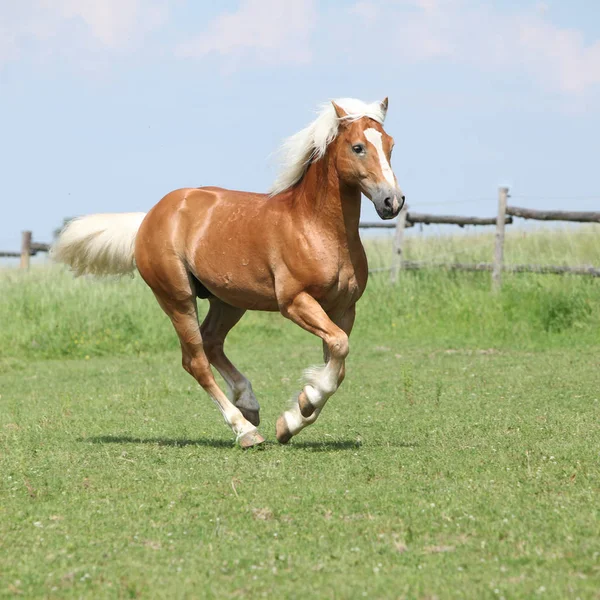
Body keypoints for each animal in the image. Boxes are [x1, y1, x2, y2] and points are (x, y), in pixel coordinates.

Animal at [52, 96, 404, 448]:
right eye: (358, 147)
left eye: (390, 144)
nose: (393, 201)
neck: (315, 227)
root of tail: (148, 218)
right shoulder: (295, 302)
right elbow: (339, 348)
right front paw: (301, 407)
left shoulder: (344, 308)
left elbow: (337, 363)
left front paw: (291, 421)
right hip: (177, 298)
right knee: (195, 360)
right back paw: (245, 429)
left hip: (229, 301)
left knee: (211, 342)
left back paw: (249, 404)